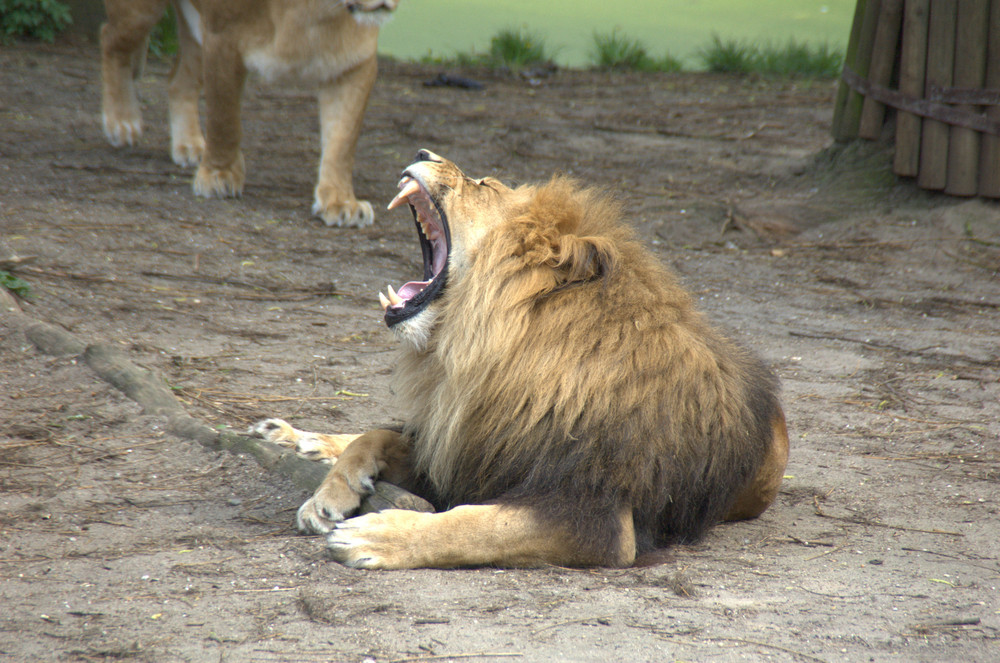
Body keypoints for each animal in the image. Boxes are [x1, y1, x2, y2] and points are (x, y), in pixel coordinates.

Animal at [98, 0, 398, 227]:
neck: (315, 10)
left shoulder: (354, 63)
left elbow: (342, 143)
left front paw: (340, 202)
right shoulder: (222, 38)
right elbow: (224, 118)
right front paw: (218, 175)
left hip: (195, 32)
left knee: (177, 83)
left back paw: (189, 145)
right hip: (140, 13)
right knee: (110, 38)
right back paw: (121, 121)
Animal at [256, 152, 788, 572]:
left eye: (484, 185)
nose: (423, 151)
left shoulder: (597, 518)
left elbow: (476, 525)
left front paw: (376, 535)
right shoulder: (466, 447)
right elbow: (375, 435)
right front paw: (327, 496)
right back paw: (291, 435)